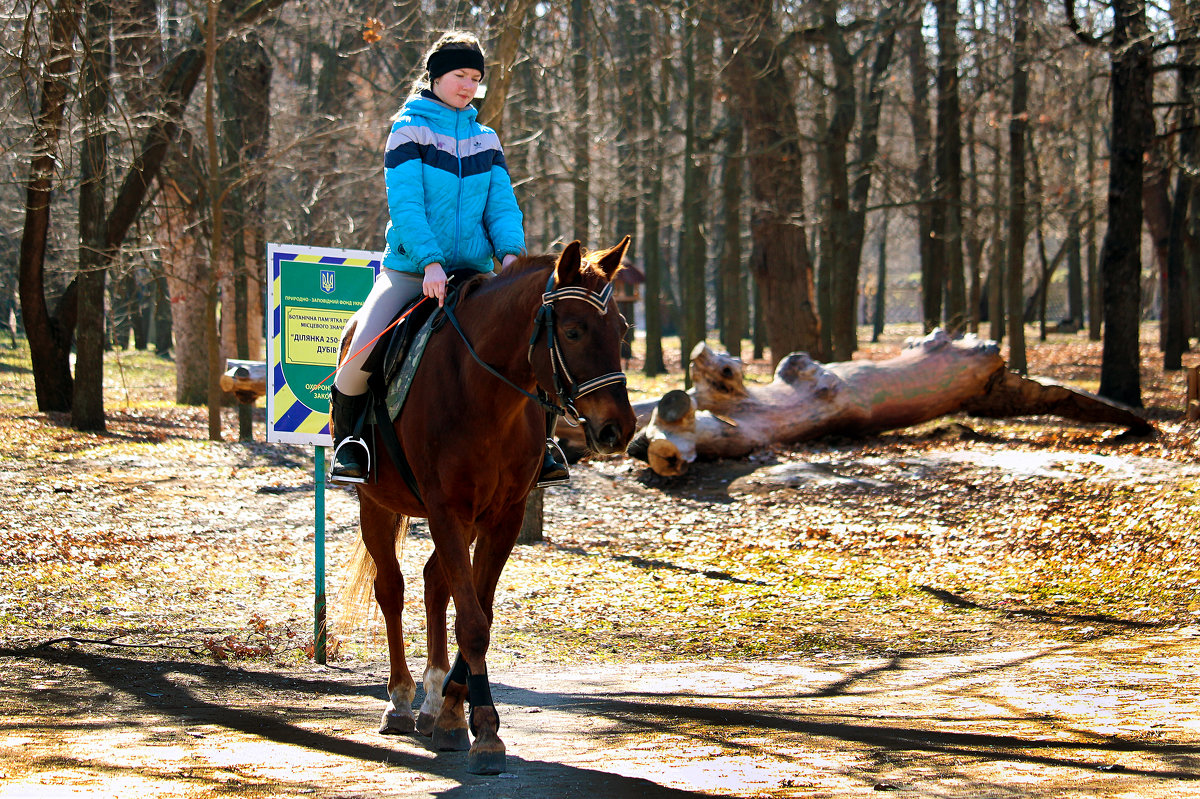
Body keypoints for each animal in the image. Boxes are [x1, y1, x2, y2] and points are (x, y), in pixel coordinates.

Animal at [340, 236, 638, 772]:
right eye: (574, 330)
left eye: (622, 329)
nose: (618, 430)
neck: (486, 394)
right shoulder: (446, 510)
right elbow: (473, 622)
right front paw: (482, 731)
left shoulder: (502, 517)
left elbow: (478, 611)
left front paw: (457, 715)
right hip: (375, 502)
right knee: (391, 589)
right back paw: (401, 701)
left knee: (435, 583)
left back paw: (431, 700)